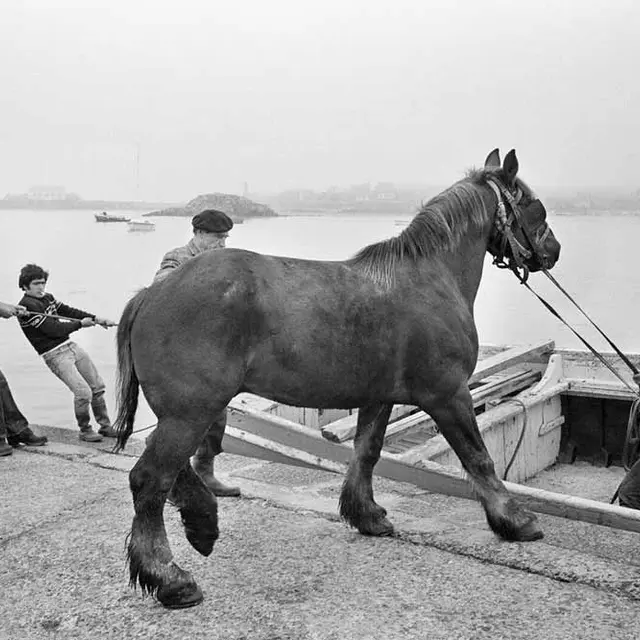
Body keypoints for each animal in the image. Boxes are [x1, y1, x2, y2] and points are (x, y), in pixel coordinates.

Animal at [113, 148, 561, 608]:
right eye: (535, 206)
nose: (552, 250)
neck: (432, 279)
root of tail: (152, 293)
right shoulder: (448, 395)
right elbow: (478, 457)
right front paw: (514, 520)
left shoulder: (379, 396)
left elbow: (367, 452)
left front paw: (367, 515)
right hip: (191, 412)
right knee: (150, 479)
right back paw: (169, 576)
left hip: (186, 412)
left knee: (167, 469)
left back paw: (202, 521)